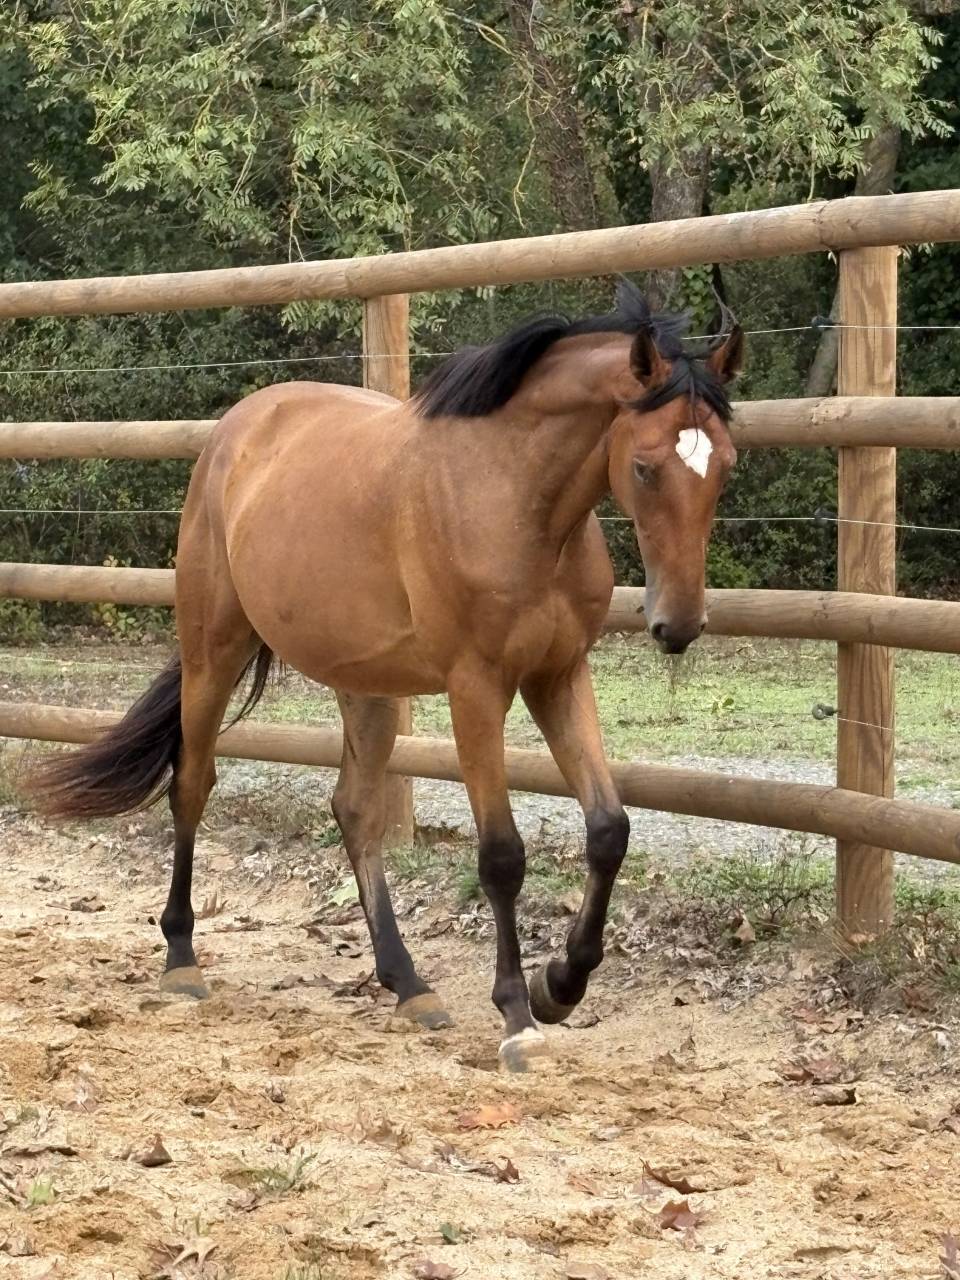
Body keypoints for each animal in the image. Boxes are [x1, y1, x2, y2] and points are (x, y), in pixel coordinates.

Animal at [28, 280, 742, 1072]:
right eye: (645, 466)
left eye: (725, 465)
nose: (678, 624)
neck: (511, 496)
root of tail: (234, 431)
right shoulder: (476, 688)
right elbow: (502, 856)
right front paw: (518, 1014)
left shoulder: (558, 675)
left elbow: (610, 829)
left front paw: (561, 984)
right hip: (215, 650)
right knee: (192, 784)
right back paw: (182, 959)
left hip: (364, 686)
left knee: (354, 810)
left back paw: (409, 984)